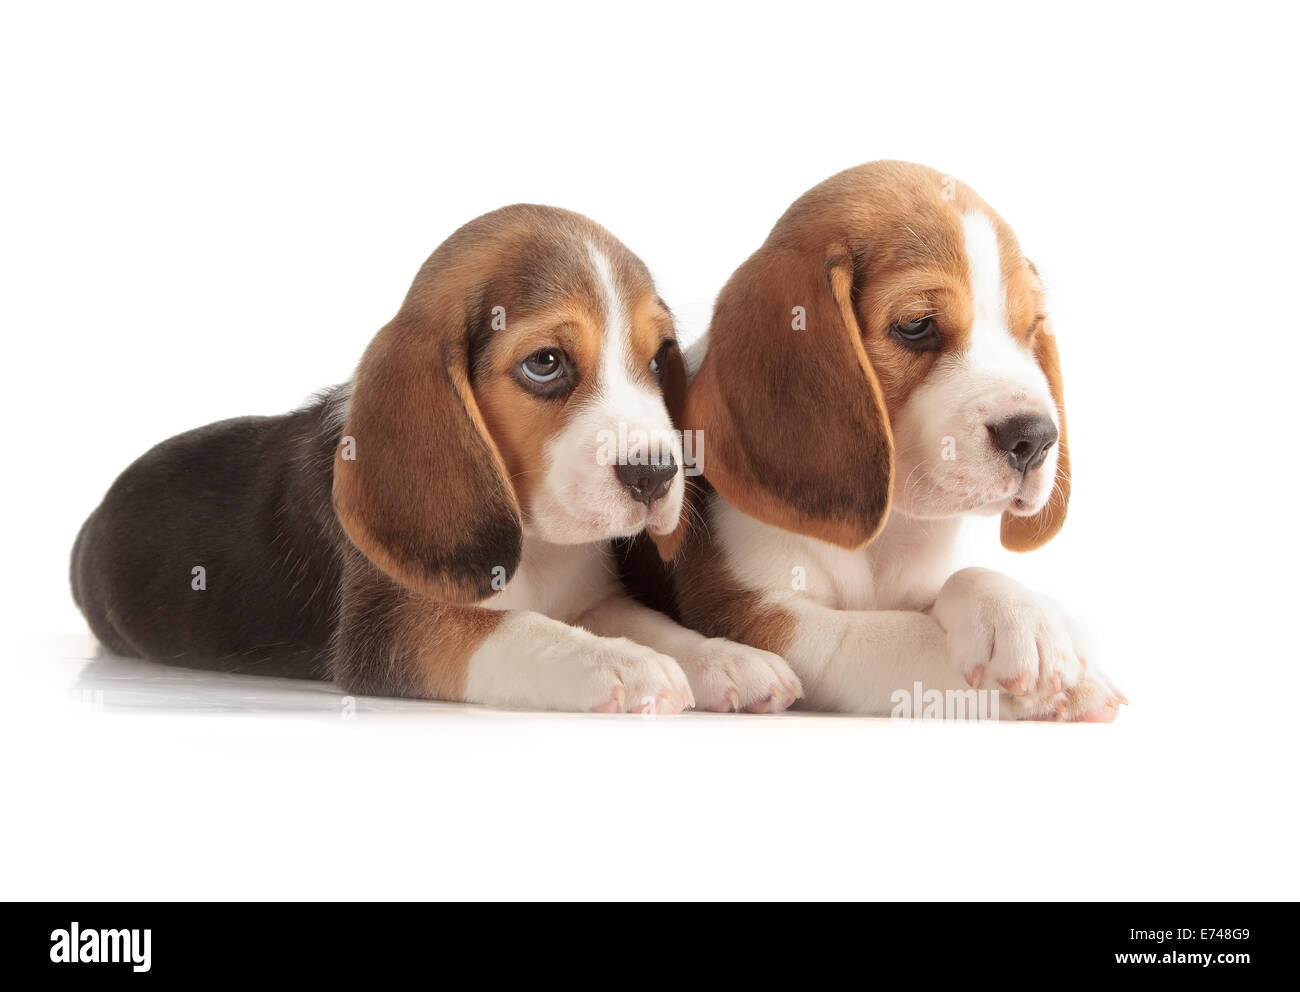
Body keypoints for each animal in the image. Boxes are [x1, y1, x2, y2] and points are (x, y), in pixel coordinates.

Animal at [73, 205, 800, 712]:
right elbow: (519, 630)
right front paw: (620, 663)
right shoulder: (394, 632)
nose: (655, 473)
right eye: (545, 363)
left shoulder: (593, 599)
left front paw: (726, 658)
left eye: (656, 361)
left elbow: (654, 625)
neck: (537, 544)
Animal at [655, 161, 1123, 722]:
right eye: (916, 325)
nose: (1034, 438)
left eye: (1030, 329)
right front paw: (1067, 687)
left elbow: (965, 577)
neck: (891, 531)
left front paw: (1023, 617)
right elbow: (908, 638)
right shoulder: (762, 613)